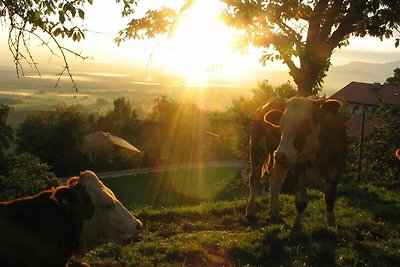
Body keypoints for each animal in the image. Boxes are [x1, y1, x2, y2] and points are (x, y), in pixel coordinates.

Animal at [245, 97, 346, 227]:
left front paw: (331, 221)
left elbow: (330, 198)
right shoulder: (297, 169)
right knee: (254, 180)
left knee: (275, 180)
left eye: (305, 125)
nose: (280, 154)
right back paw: (250, 212)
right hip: (258, 149)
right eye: (280, 125)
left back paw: (274, 212)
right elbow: (301, 202)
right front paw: (297, 226)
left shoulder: (335, 171)